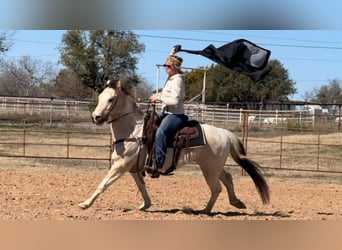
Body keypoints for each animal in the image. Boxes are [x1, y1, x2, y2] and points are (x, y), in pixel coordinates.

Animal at [77, 79, 270, 214]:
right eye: (100, 97)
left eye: (111, 99)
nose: (96, 117)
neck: (133, 131)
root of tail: (224, 133)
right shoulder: (133, 168)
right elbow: (142, 187)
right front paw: (145, 205)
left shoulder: (120, 166)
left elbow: (103, 185)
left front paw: (84, 204)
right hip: (213, 167)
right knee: (227, 179)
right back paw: (235, 203)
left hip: (209, 169)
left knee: (217, 188)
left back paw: (205, 211)